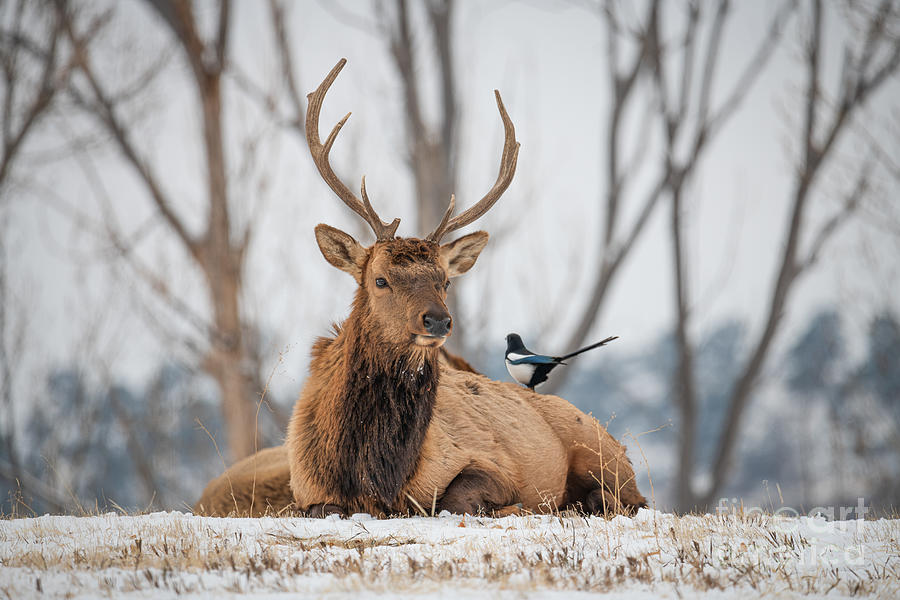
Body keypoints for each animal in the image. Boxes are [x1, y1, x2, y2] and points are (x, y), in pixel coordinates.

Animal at [197, 62, 648, 520]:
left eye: (444, 280)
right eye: (380, 279)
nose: (437, 320)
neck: (377, 474)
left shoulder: (489, 462)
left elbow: (455, 499)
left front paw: (516, 507)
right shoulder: (306, 489)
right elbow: (319, 508)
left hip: (603, 455)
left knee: (627, 498)